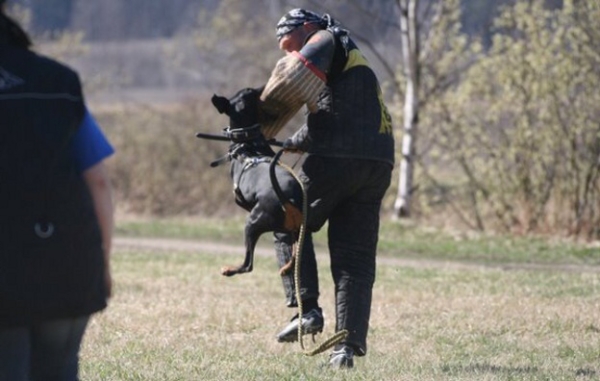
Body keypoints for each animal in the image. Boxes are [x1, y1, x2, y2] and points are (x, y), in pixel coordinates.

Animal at [210, 86, 304, 276]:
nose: (263, 88)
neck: (248, 142)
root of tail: (288, 201)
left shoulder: (240, 200)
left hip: (253, 222)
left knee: (248, 264)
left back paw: (229, 269)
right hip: (296, 228)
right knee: (295, 252)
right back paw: (286, 267)